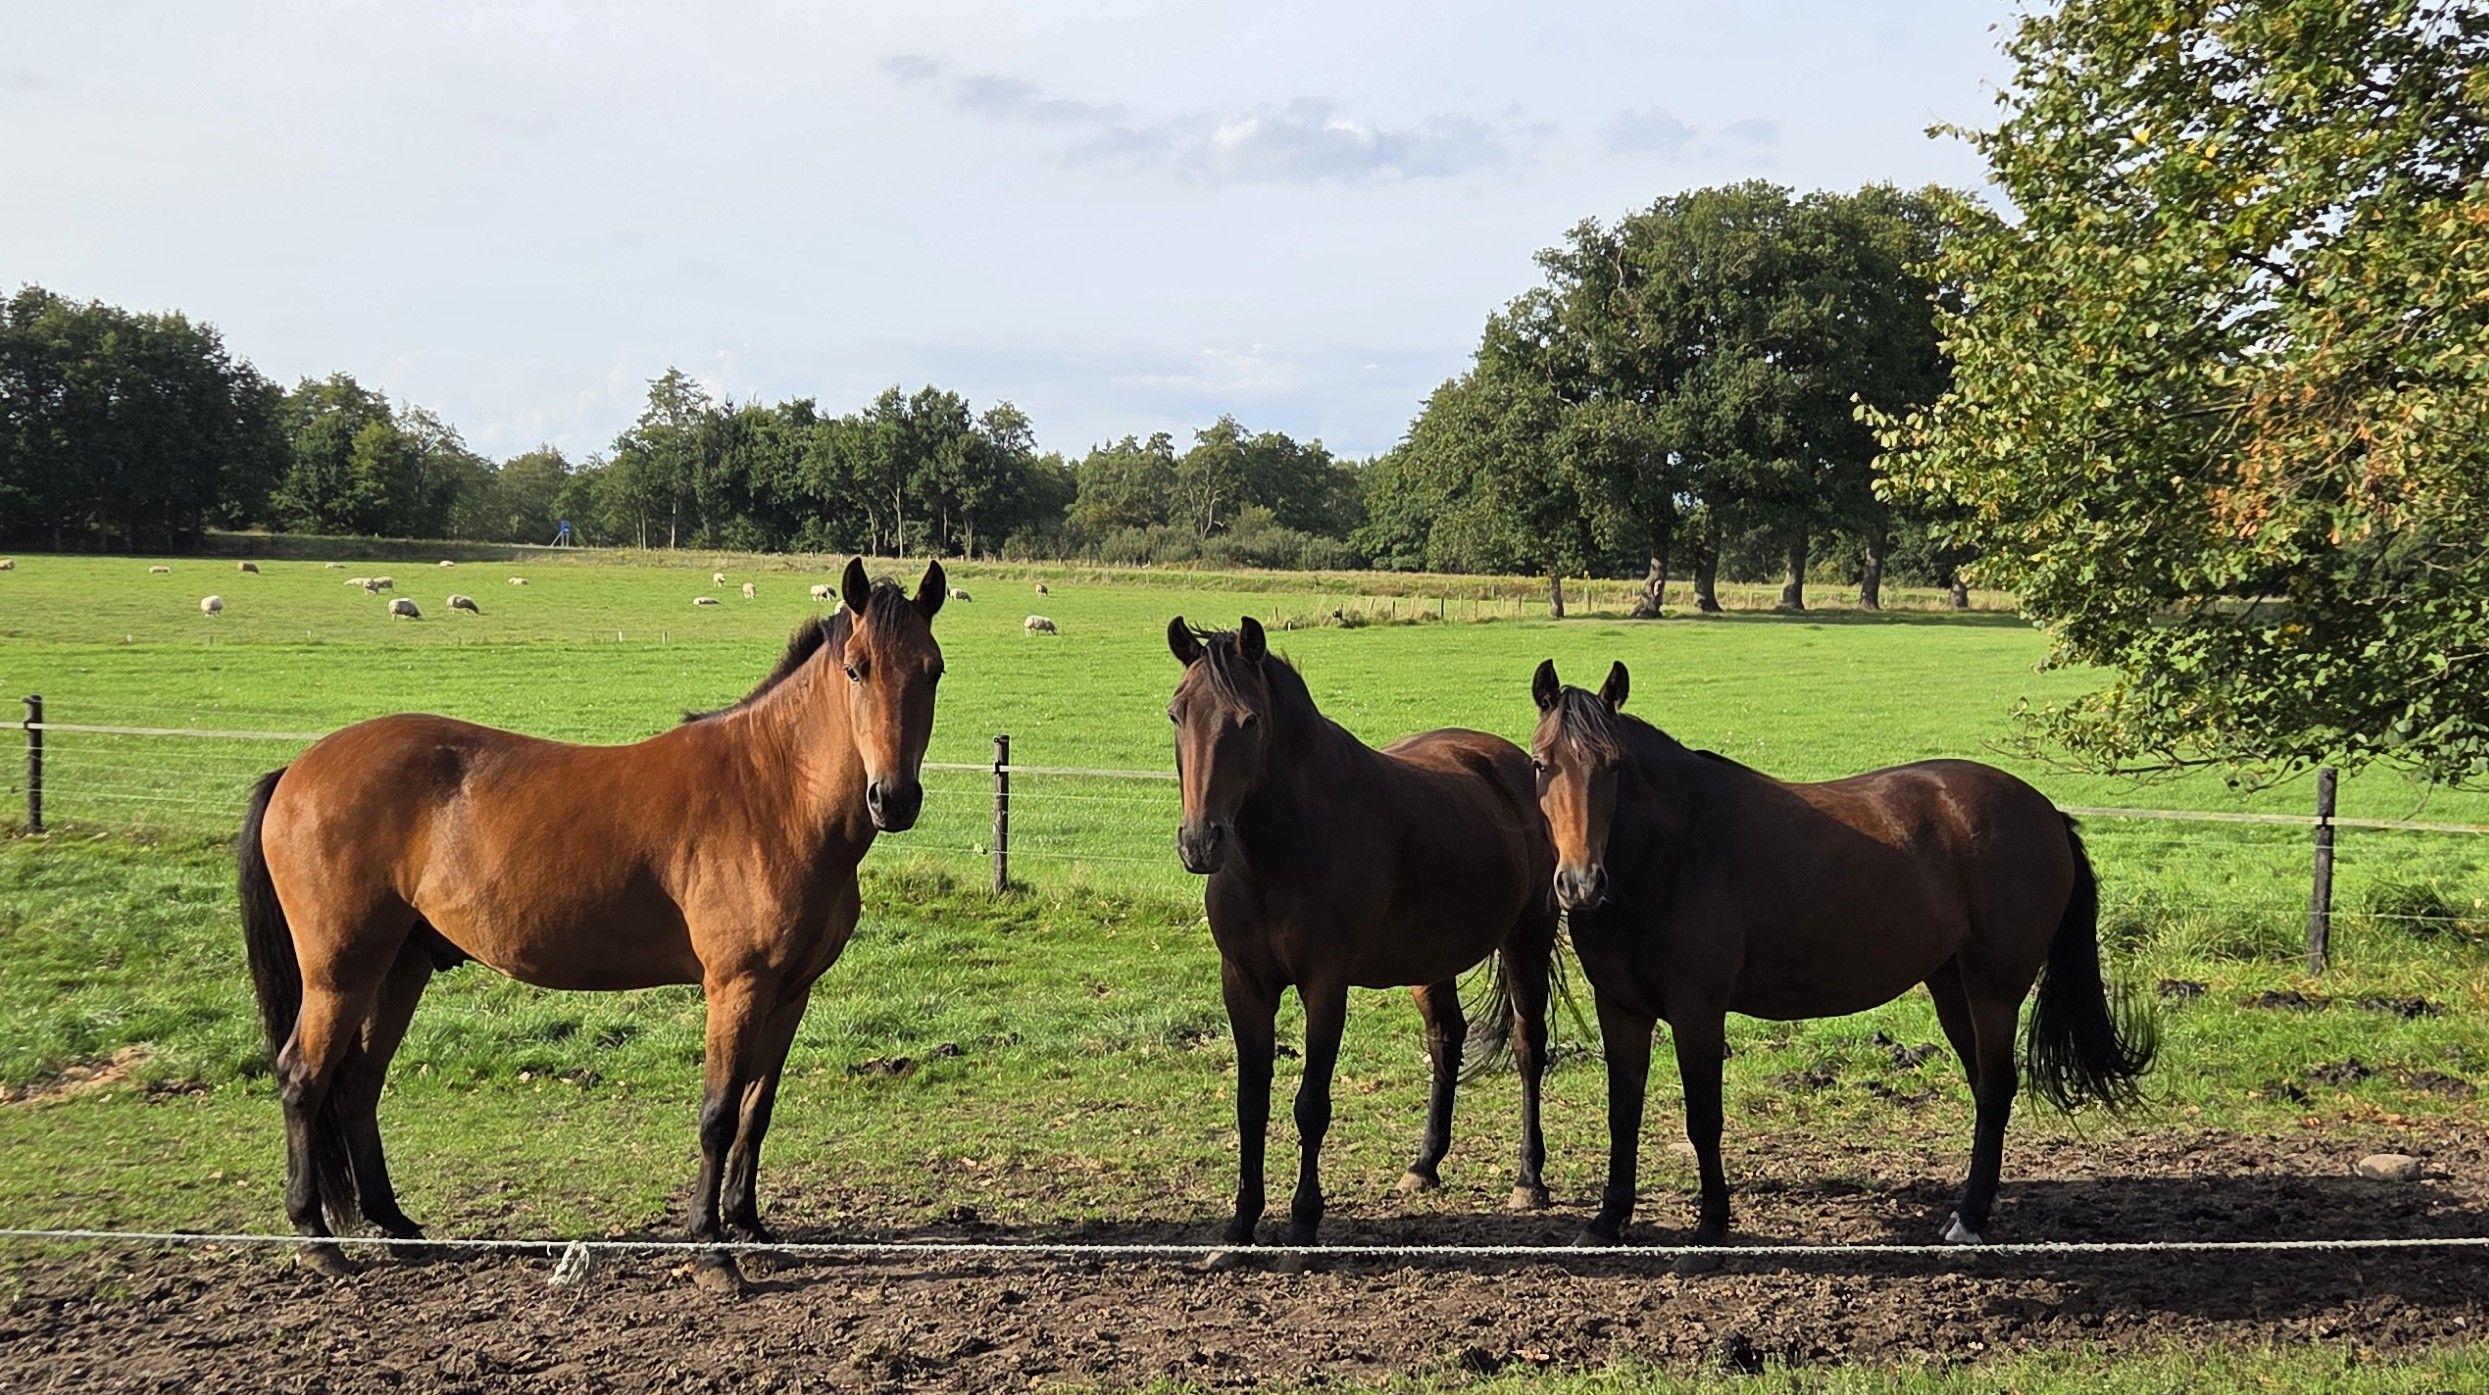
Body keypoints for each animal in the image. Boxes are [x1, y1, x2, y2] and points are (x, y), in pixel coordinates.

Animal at [237, 557, 947, 1293]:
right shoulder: (737, 986)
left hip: (399, 967)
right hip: (340, 973)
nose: (894, 799)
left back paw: (396, 1226)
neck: (773, 791)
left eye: (932, 669)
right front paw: (712, 1248)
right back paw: (316, 1238)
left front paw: (748, 1225)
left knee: (357, 1084)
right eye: (856, 668)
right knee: (303, 1078)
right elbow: (719, 1114)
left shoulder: (790, 992)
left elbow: (758, 1107)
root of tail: (297, 769)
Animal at [1167, 616, 1559, 1254]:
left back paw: (1529, 1179)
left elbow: (1310, 1105)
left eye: (1249, 721)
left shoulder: (1324, 985)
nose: (1201, 843)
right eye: (1177, 714)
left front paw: (1304, 1219)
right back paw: (1424, 1165)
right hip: (1433, 960)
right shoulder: (1244, 984)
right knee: (1446, 1039)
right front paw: (1242, 1222)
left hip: (1527, 939)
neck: (1279, 850)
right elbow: (1251, 1104)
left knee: (1529, 1047)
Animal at [1527, 659, 2154, 1264]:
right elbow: (1622, 1112)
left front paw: (1709, 1233)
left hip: (1993, 990)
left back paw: (1971, 1221)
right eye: (1540, 764)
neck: (1670, 850)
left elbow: (1704, 1118)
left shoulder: (1697, 1010)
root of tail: (2046, 812)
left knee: (1998, 1087)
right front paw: (1606, 1221)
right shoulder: (1621, 1008)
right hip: (1953, 987)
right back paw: (1966, 1212)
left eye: (1613, 766)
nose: (1581, 884)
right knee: (1984, 1089)